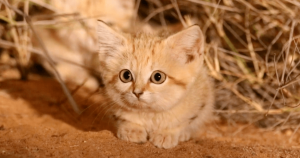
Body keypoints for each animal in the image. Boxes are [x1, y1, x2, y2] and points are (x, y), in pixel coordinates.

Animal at [98, 20, 213, 148]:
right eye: (126, 75)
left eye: (158, 77)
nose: (137, 92)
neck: (150, 113)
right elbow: (124, 118)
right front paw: (132, 129)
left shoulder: (201, 99)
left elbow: (183, 122)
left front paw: (166, 133)